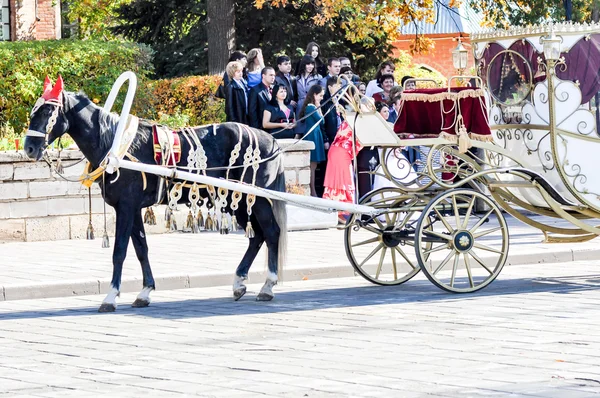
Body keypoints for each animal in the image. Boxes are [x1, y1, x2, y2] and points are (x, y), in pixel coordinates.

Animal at [26, 76, 290, 312]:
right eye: (34, 112)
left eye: (47, 111)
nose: (29, 147)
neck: (114, 143)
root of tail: (271, 141)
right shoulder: (131, 208)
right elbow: (141, 248)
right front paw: (145, 292)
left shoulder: (126, 206)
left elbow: (119, 251)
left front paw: (111, 297)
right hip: (238, 201)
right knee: (257, 236)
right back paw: (239, 282)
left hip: (256, 199)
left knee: (271, 233)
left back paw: (268, 286)